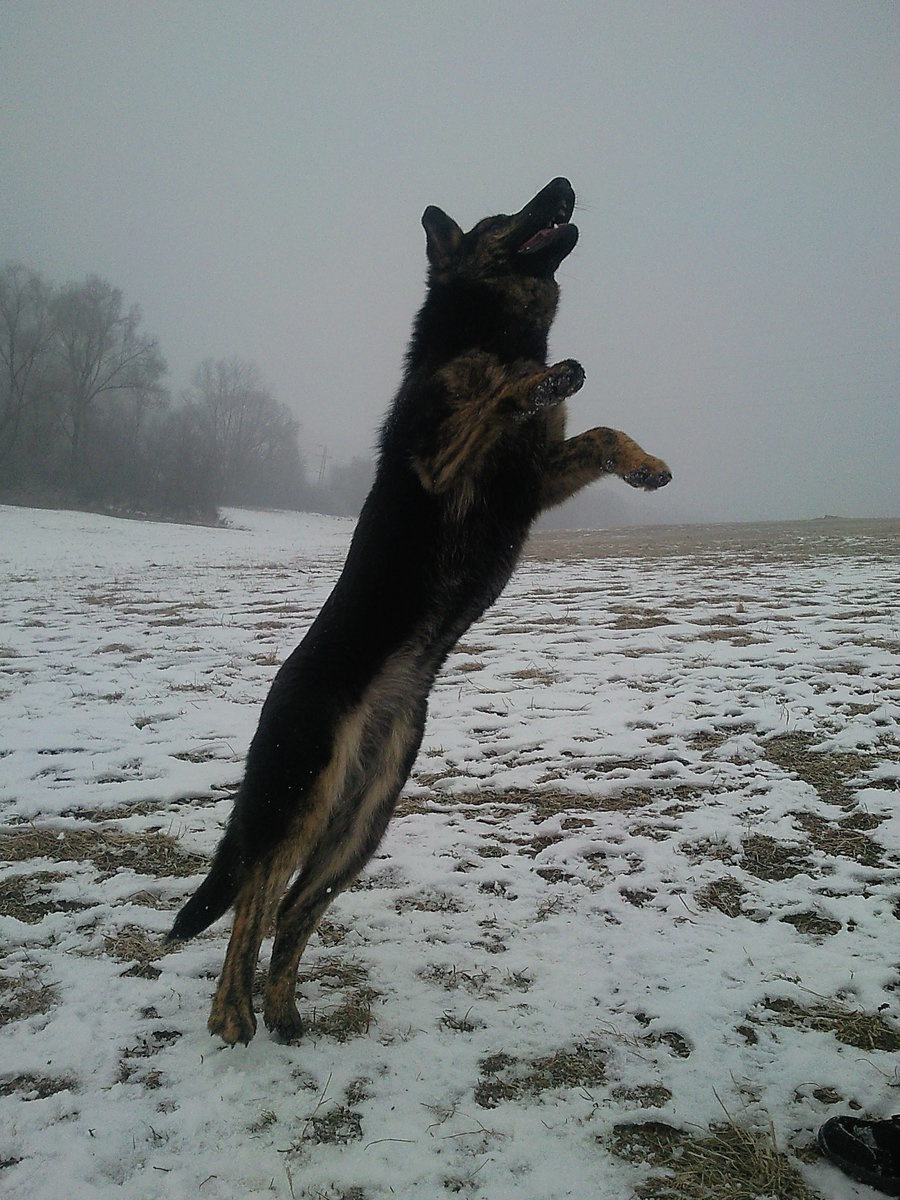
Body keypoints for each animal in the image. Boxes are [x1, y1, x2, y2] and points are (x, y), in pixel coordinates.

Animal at [170, 175, 672, 1041]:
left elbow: (603, 432)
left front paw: (645, 464)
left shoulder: (539, 476)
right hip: (305, 795)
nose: (565, 185)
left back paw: (286, 1012)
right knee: (255, 895)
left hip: (362, 823)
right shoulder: (444, 459)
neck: (496, 334)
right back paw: (233, 1010)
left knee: (294, 909)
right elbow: (497, 401)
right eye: (503, 219)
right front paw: (538, 381)